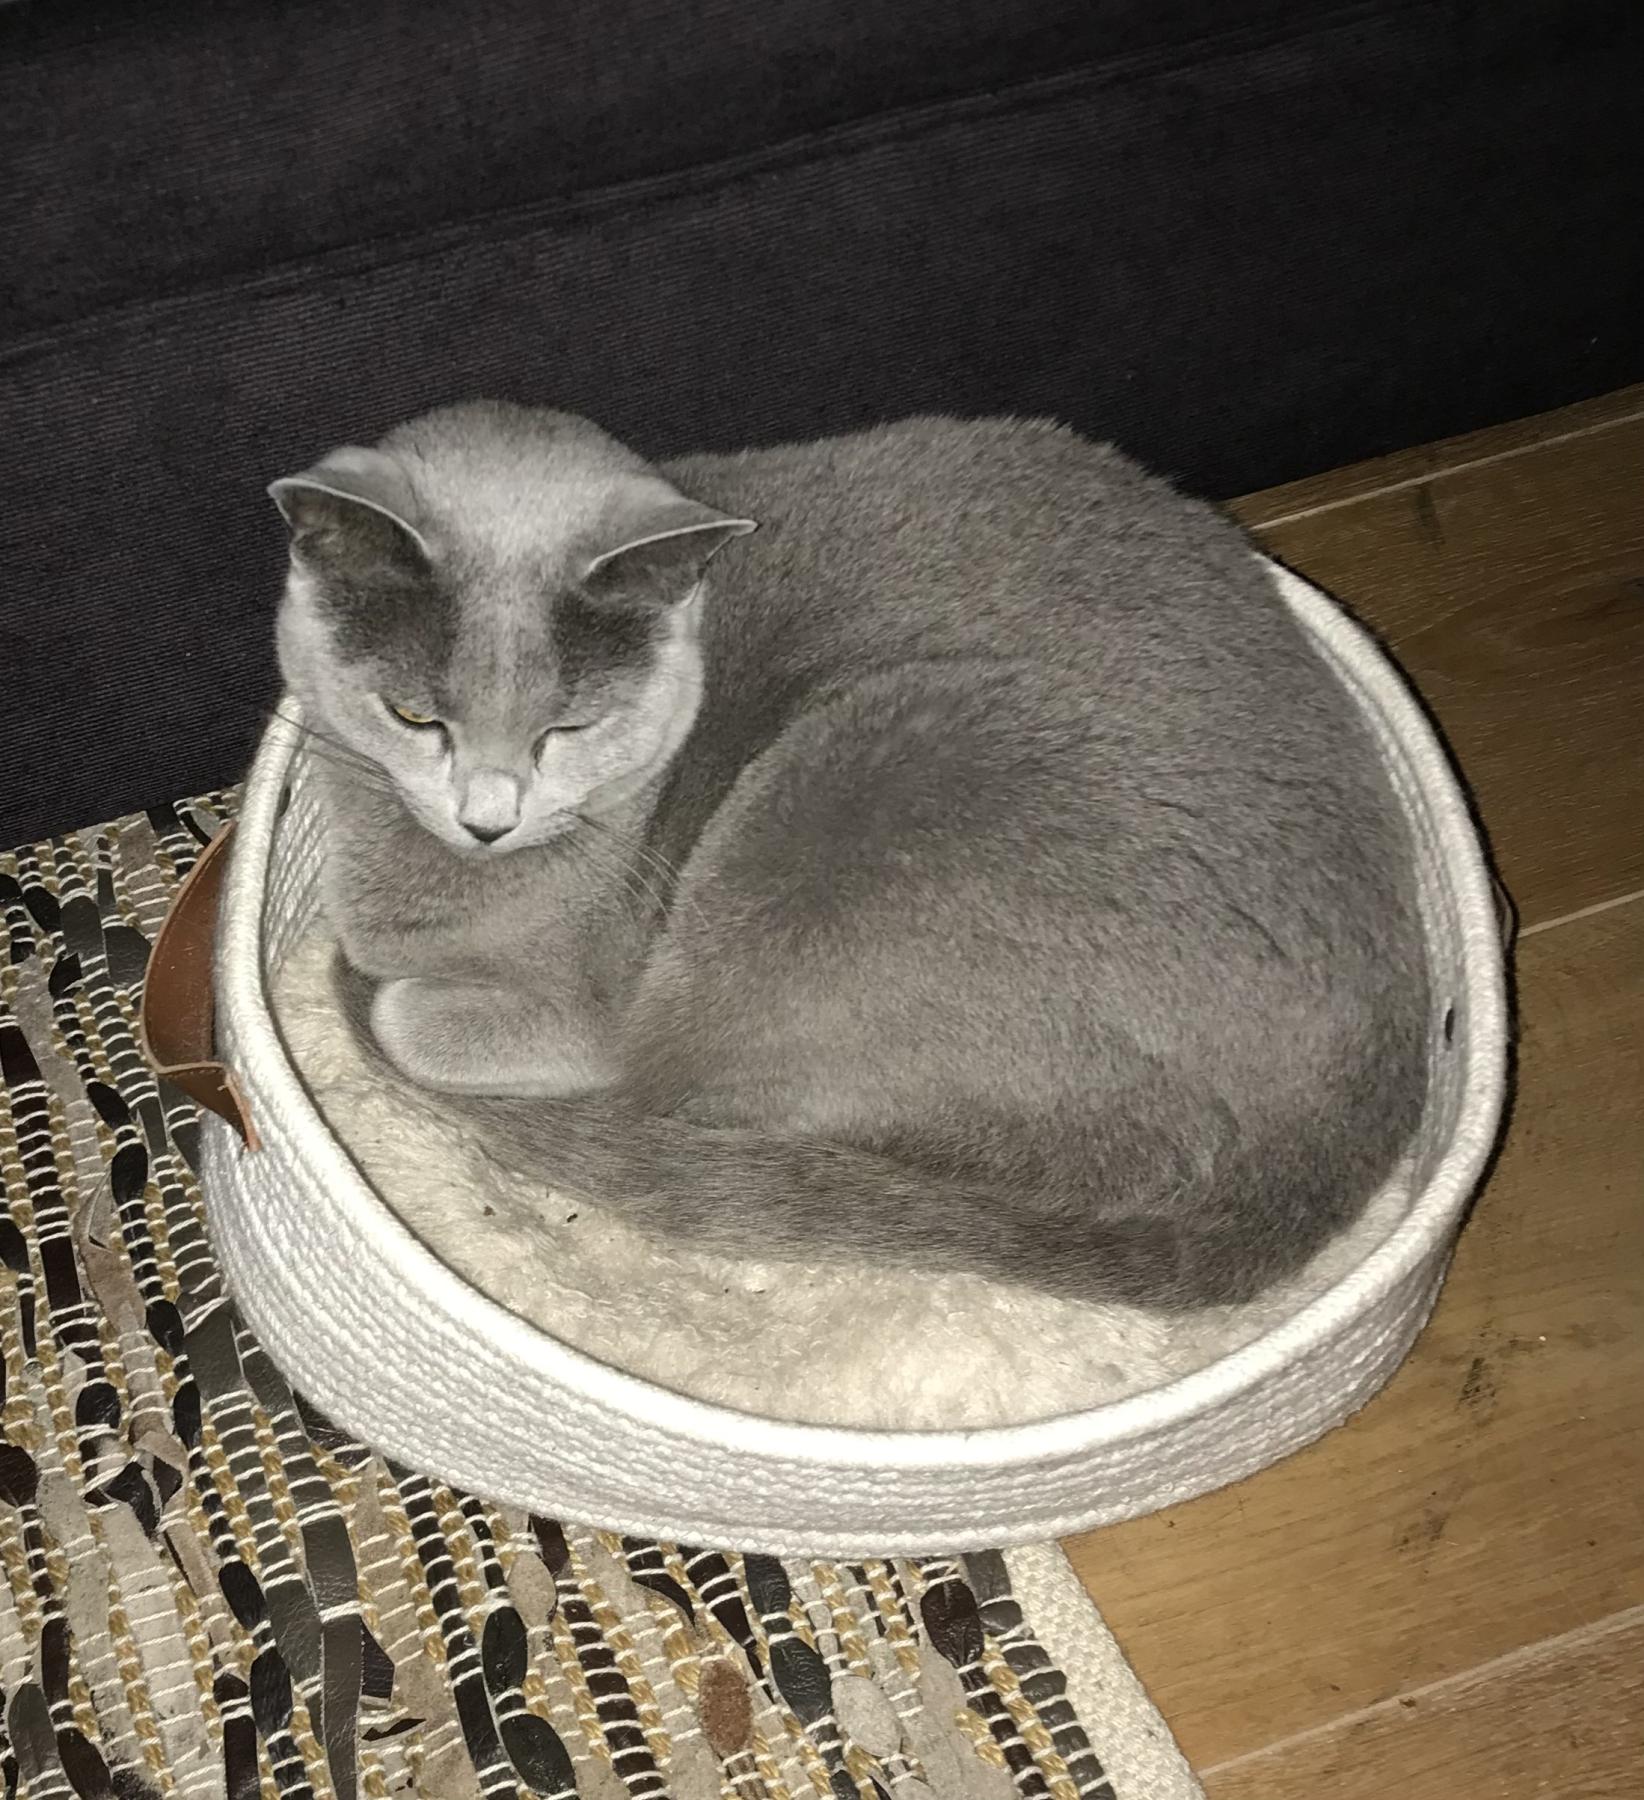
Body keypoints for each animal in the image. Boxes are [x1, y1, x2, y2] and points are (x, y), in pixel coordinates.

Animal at [270, 401, 1429, 1307]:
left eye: (569, 727)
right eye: (415, 714)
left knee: (678, 1086)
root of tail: (1376, 1083)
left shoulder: (590, 996)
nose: (487, 818)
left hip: (870, 776)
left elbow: (422, 1014)